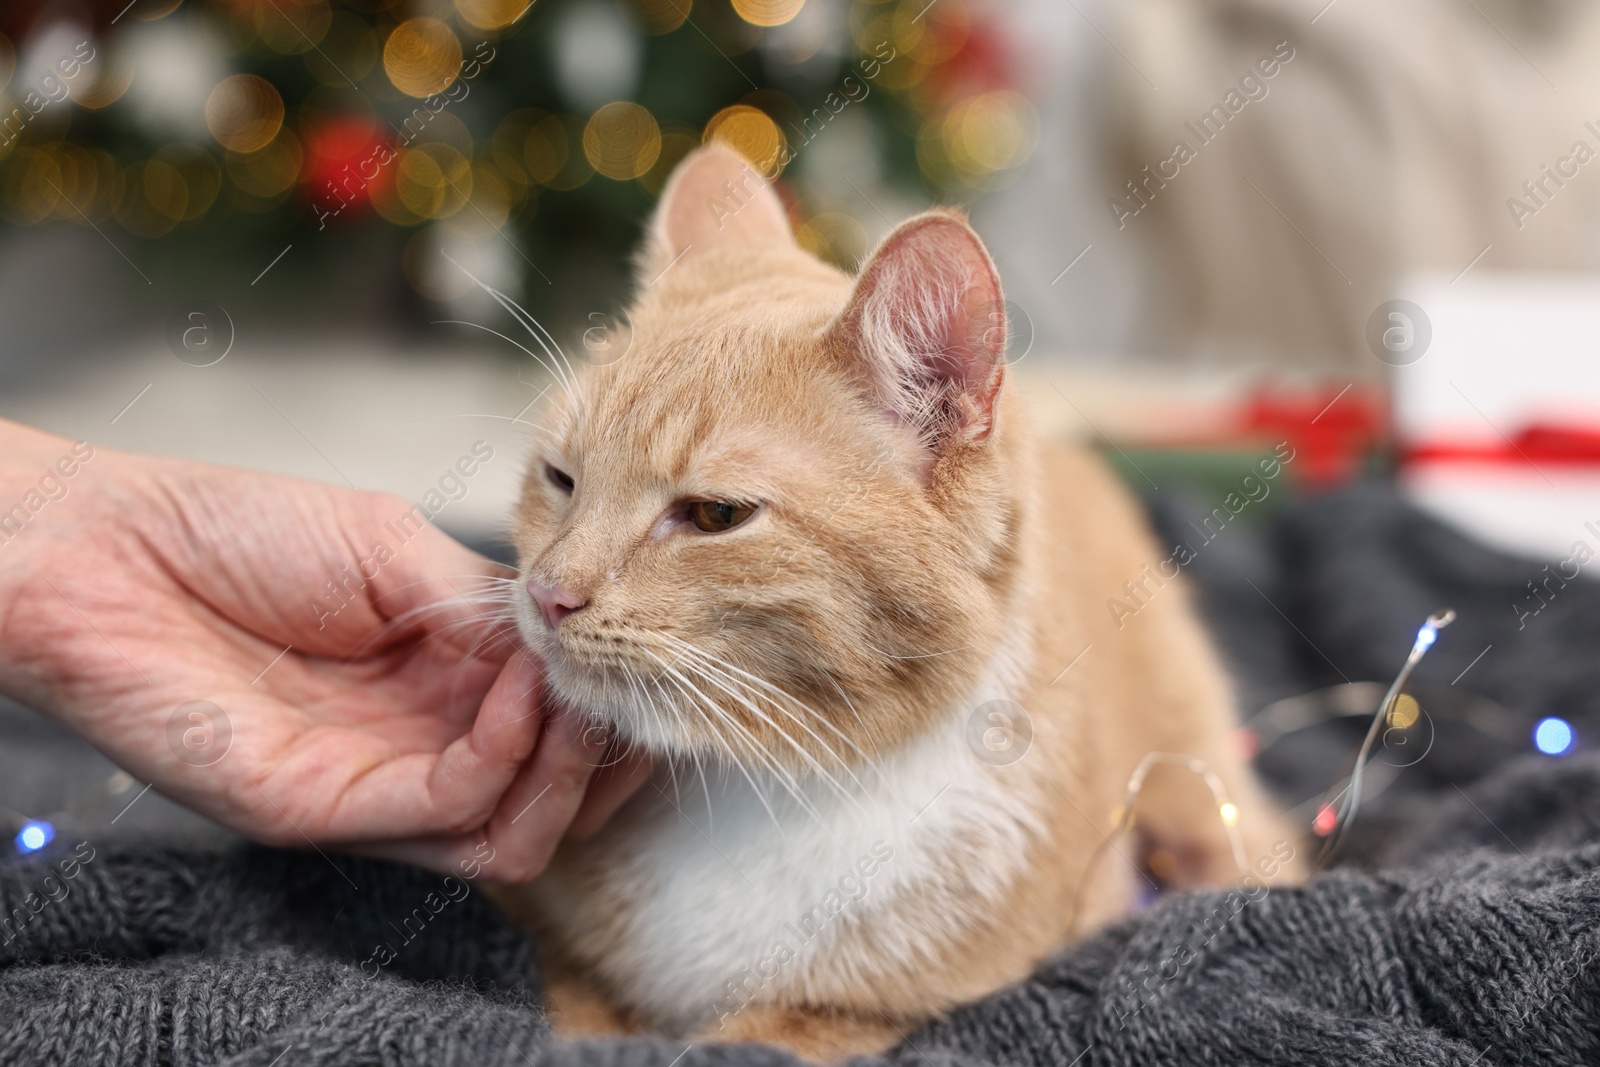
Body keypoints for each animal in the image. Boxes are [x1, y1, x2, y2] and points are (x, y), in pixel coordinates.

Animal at [496, 146, 1299, 1062]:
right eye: (561, 479)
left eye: (715, 515)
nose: (548, 593)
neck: (761, 781)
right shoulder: (557, 954)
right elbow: (576, 1015)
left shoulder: (852, 1016)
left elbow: (749, 1037)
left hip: (1200, 792)